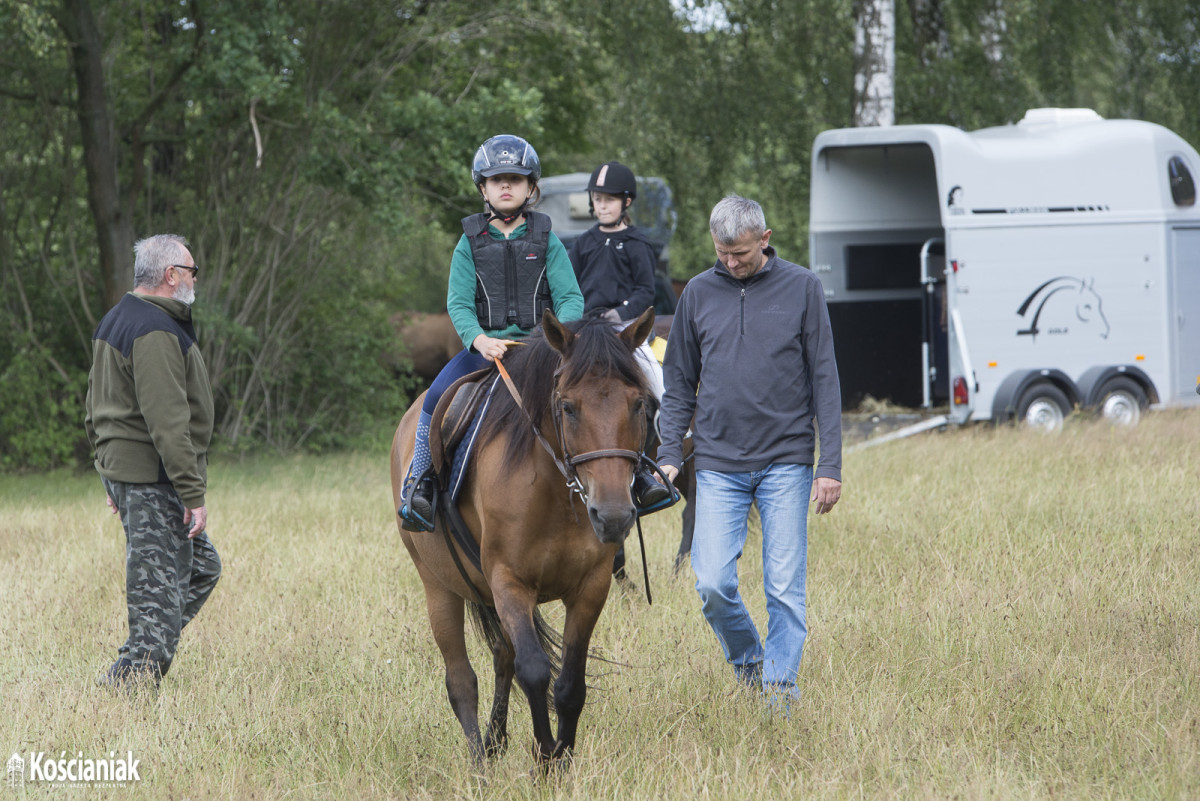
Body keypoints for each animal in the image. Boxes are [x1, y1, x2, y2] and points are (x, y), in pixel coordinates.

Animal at [391, 309, 657, 767]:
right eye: (567, 407)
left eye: (639, 403)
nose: (613, 515)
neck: (554, 490)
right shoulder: (509, 583)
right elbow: (534, 672)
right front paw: (545, 756)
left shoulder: (590, 588)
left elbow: (569, 684)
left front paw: (561, 760)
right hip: (439, 588)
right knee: (461, 680)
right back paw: (479, 763)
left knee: (502, 657)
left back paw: (496, 742)